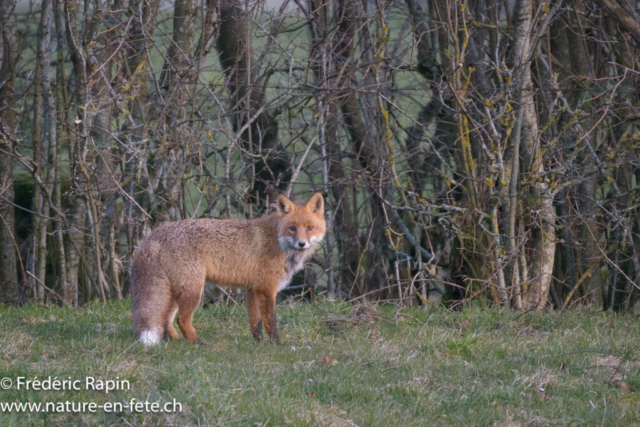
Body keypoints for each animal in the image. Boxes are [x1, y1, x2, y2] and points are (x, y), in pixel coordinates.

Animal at [130, 193, 325, 345]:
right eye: (292, 228)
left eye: (310, 228)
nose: (302, 244)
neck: (277, 240)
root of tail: (156, 233)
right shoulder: (266, 288)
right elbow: (271, 322)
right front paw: (276, 345)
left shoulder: (252, 289)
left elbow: (255, 323)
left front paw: (259, 343)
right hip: (193, 290)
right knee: (182, 320)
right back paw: (198, 343)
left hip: (177, 291)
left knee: (167, 321)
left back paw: (177, 341)